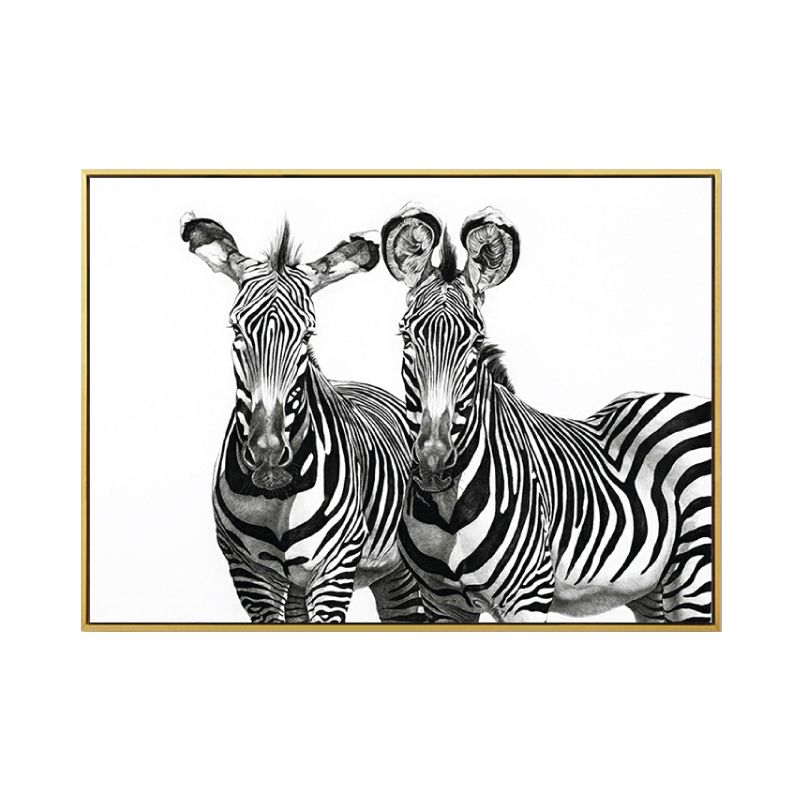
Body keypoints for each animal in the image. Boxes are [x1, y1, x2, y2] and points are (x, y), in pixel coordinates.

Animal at [180, 212, 423, 623]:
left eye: (308, 335)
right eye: (236, 329)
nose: (267, 453)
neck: (278, 499)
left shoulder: (334, 569)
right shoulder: (249, 572)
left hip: (401, 572)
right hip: (298, 585)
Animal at [380, 202, 713, 624]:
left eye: (476, 341)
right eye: (406, 337)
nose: (434, 463)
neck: (447, 511)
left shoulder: (527, 596)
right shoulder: (442, 602)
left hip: (694, 575)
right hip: (651, 590)